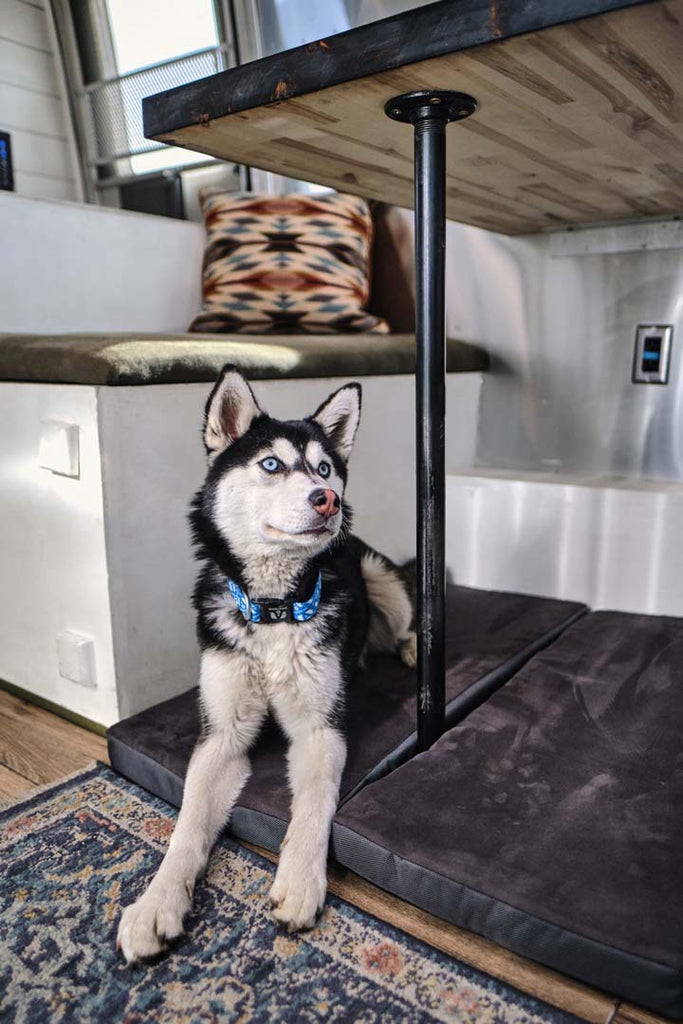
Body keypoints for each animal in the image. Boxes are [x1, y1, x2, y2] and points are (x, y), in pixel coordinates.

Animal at [117, 366, 417, 958]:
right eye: (272, 465)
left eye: (323, 467)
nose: (328, 500)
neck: (276, 607)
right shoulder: (220, 737)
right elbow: (187, 823)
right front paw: (157, 902)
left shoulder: (321, 731)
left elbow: (315, 806)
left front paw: (299, 881)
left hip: (380, 578)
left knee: (405, 624)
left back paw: (412, 650)